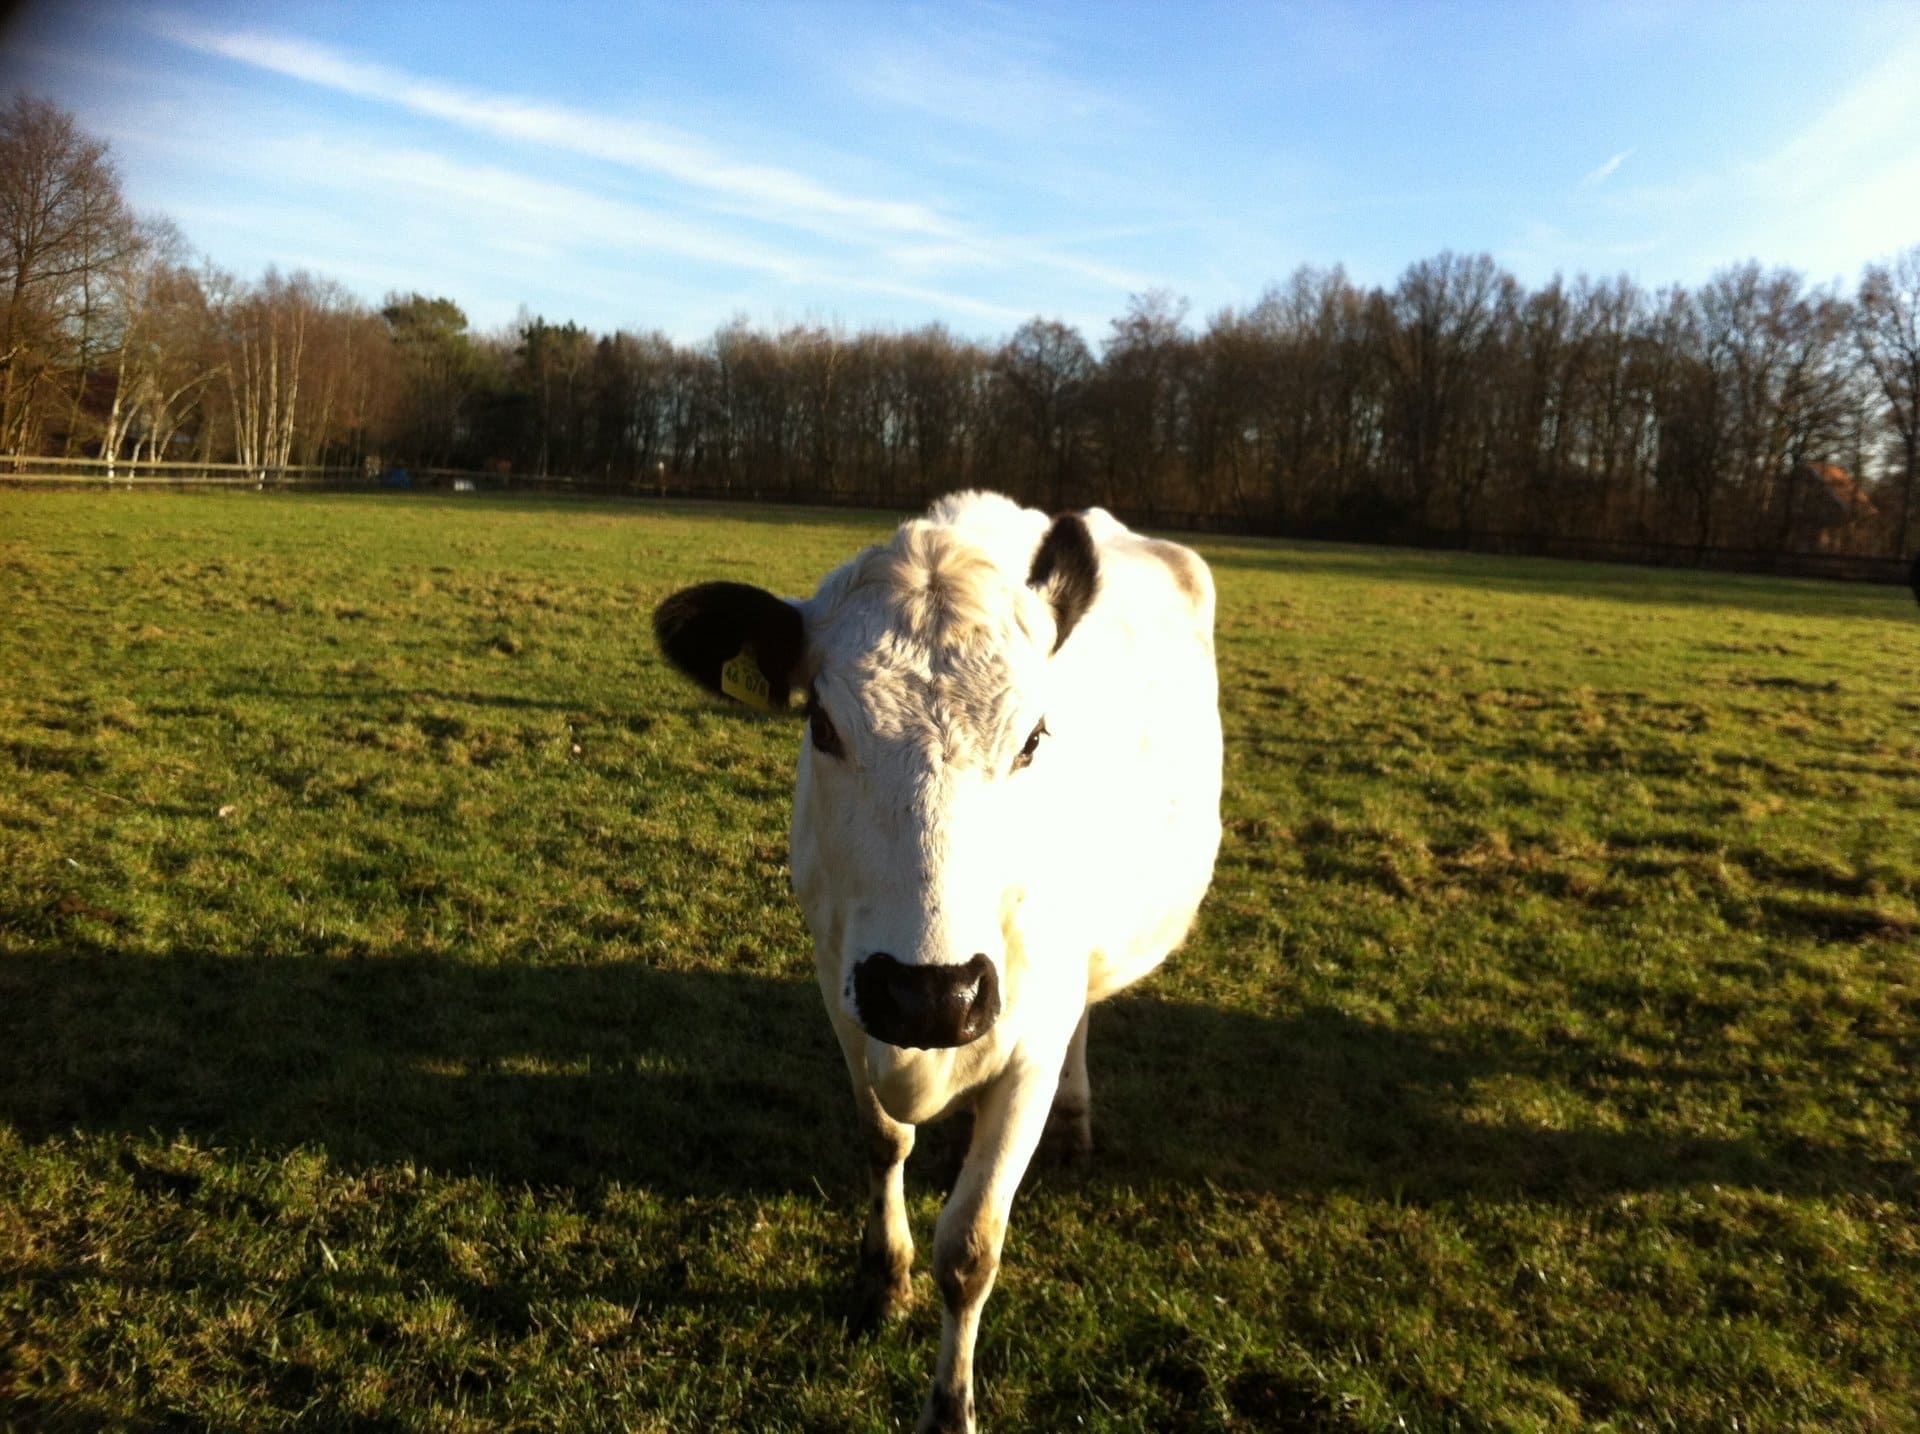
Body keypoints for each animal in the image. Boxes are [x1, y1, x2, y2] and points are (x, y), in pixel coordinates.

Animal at [653, 491, 1222, 1432]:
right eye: (821, 725)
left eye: (1034, 737)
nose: (932, 995)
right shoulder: (846, 997)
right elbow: (884, 1140)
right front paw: (883, 1280)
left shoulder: (1025, 1043)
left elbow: (972, 1246)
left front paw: (950, 1404)